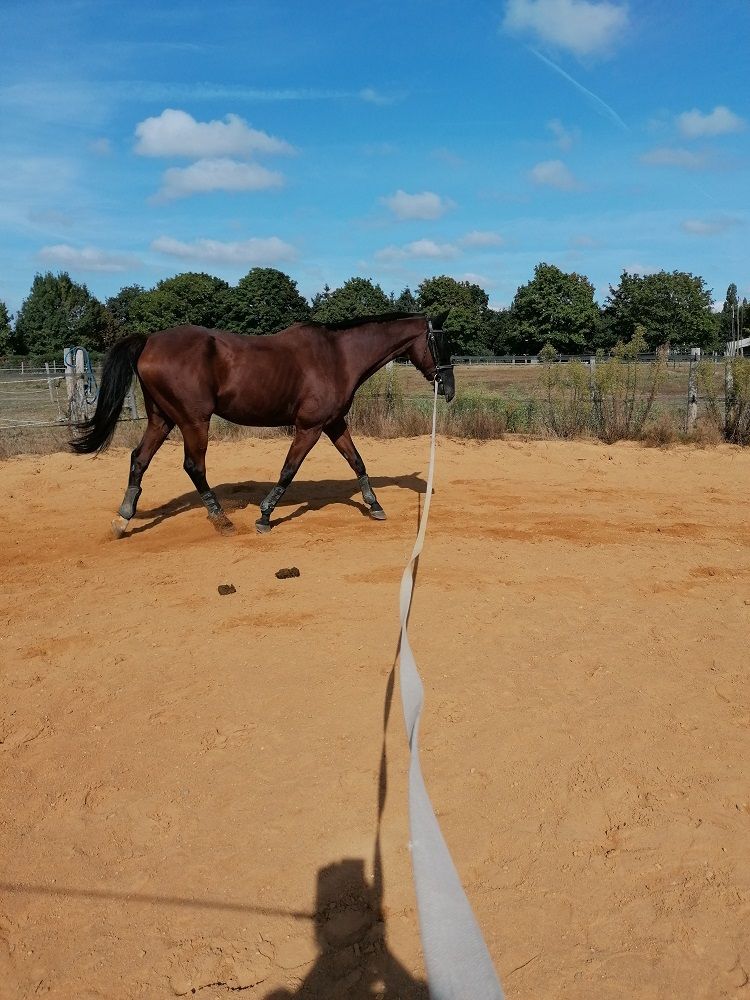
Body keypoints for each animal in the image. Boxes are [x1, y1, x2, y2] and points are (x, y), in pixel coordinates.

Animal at [70, 312, 455, 538]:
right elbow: (288, 470)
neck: (338, 356)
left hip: (162, 420)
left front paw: (375, 506)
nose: (448, 389)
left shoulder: (333, 423)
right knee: (194, 466)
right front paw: (265, 516)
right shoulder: (310, 427)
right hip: (193, 421)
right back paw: (221, 520)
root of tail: (149, 340)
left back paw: (124, 519)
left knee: (139, 459)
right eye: (441, 341)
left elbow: (357, 462)